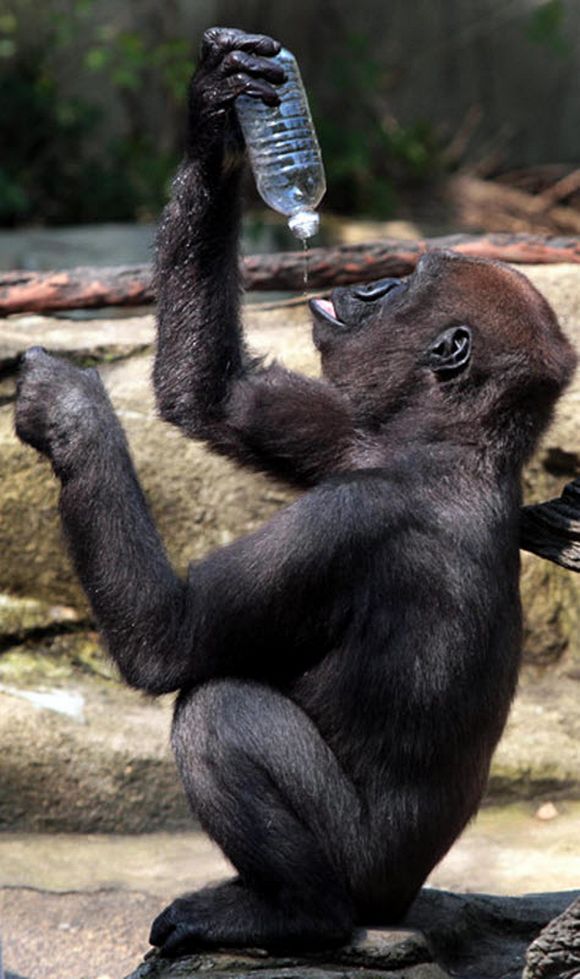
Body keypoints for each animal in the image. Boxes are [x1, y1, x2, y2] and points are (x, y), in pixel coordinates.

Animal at [14, 28, 576, 956]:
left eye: (400, 283)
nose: (364, 284)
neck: (446, 441)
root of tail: (399, 901)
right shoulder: (356, 430)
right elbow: (215, 393)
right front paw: (220, 111)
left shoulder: (355, 517)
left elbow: (172, 640)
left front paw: (71, 411)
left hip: (365, 881)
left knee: (220, 711)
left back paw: (294, 911)